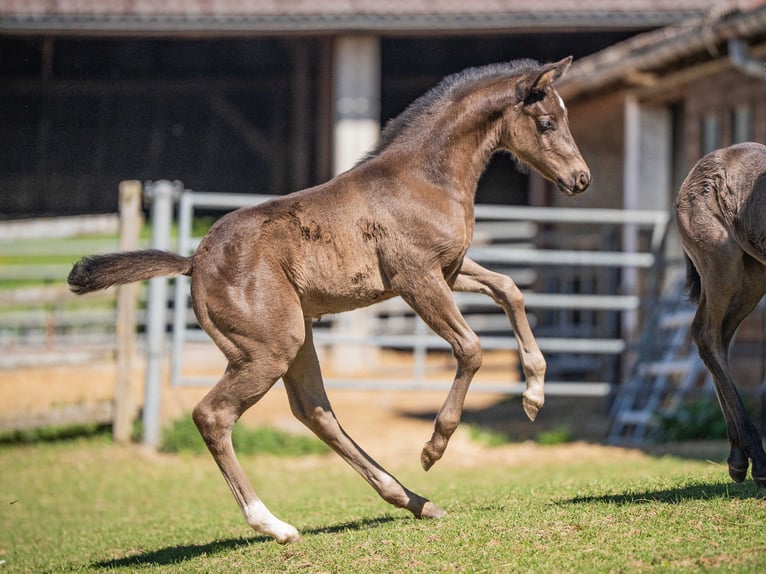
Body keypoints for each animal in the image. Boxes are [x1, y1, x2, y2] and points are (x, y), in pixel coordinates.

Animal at [68, 57, 590, 543]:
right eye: (547, 122)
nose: (581, 179)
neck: (423, 178)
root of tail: (194, 261)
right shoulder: (417, 278)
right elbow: (471, 348)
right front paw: (434, 447)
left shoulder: (450, 269)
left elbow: (510, 290)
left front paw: (534, 395)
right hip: (269, 349)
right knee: (213, 415)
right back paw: (275, 524)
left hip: (297, 339)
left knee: (315, 411)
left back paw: (413, 500)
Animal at [674, 141, 766, 487]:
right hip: (721, 264)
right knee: (705, 333)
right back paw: (757, 461)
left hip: (753, 277)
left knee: (721, 338)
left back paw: (738, 457)